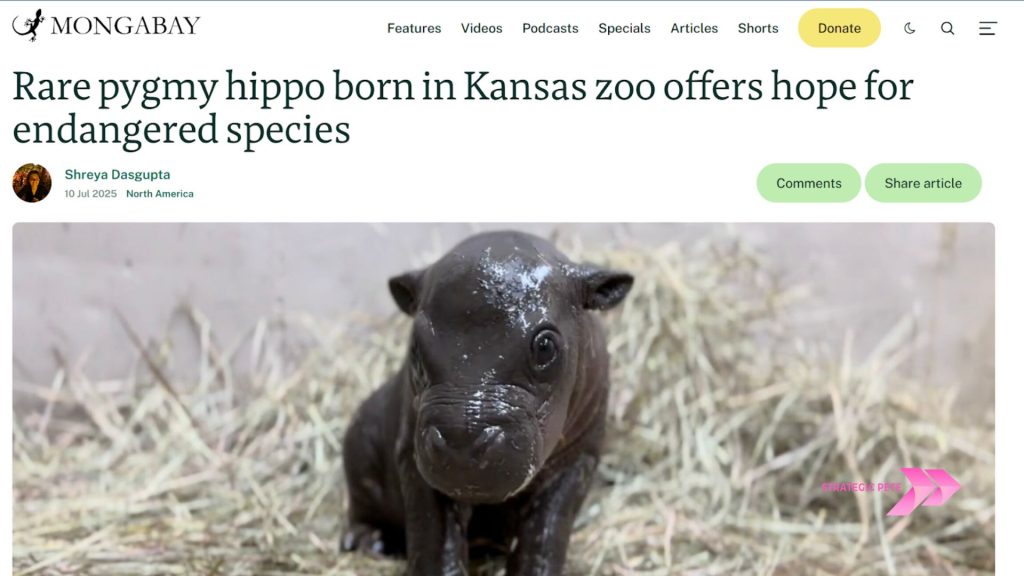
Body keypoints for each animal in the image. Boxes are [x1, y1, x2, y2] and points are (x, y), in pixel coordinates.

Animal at [341, 231, 633, 575]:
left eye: (545, 346)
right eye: (415, 346)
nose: (461, 441)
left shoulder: (577, 462)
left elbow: (543, 538)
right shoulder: (414, 461)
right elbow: (434, 541)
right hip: (360, 441)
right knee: (362, 505)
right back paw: (367, 541)